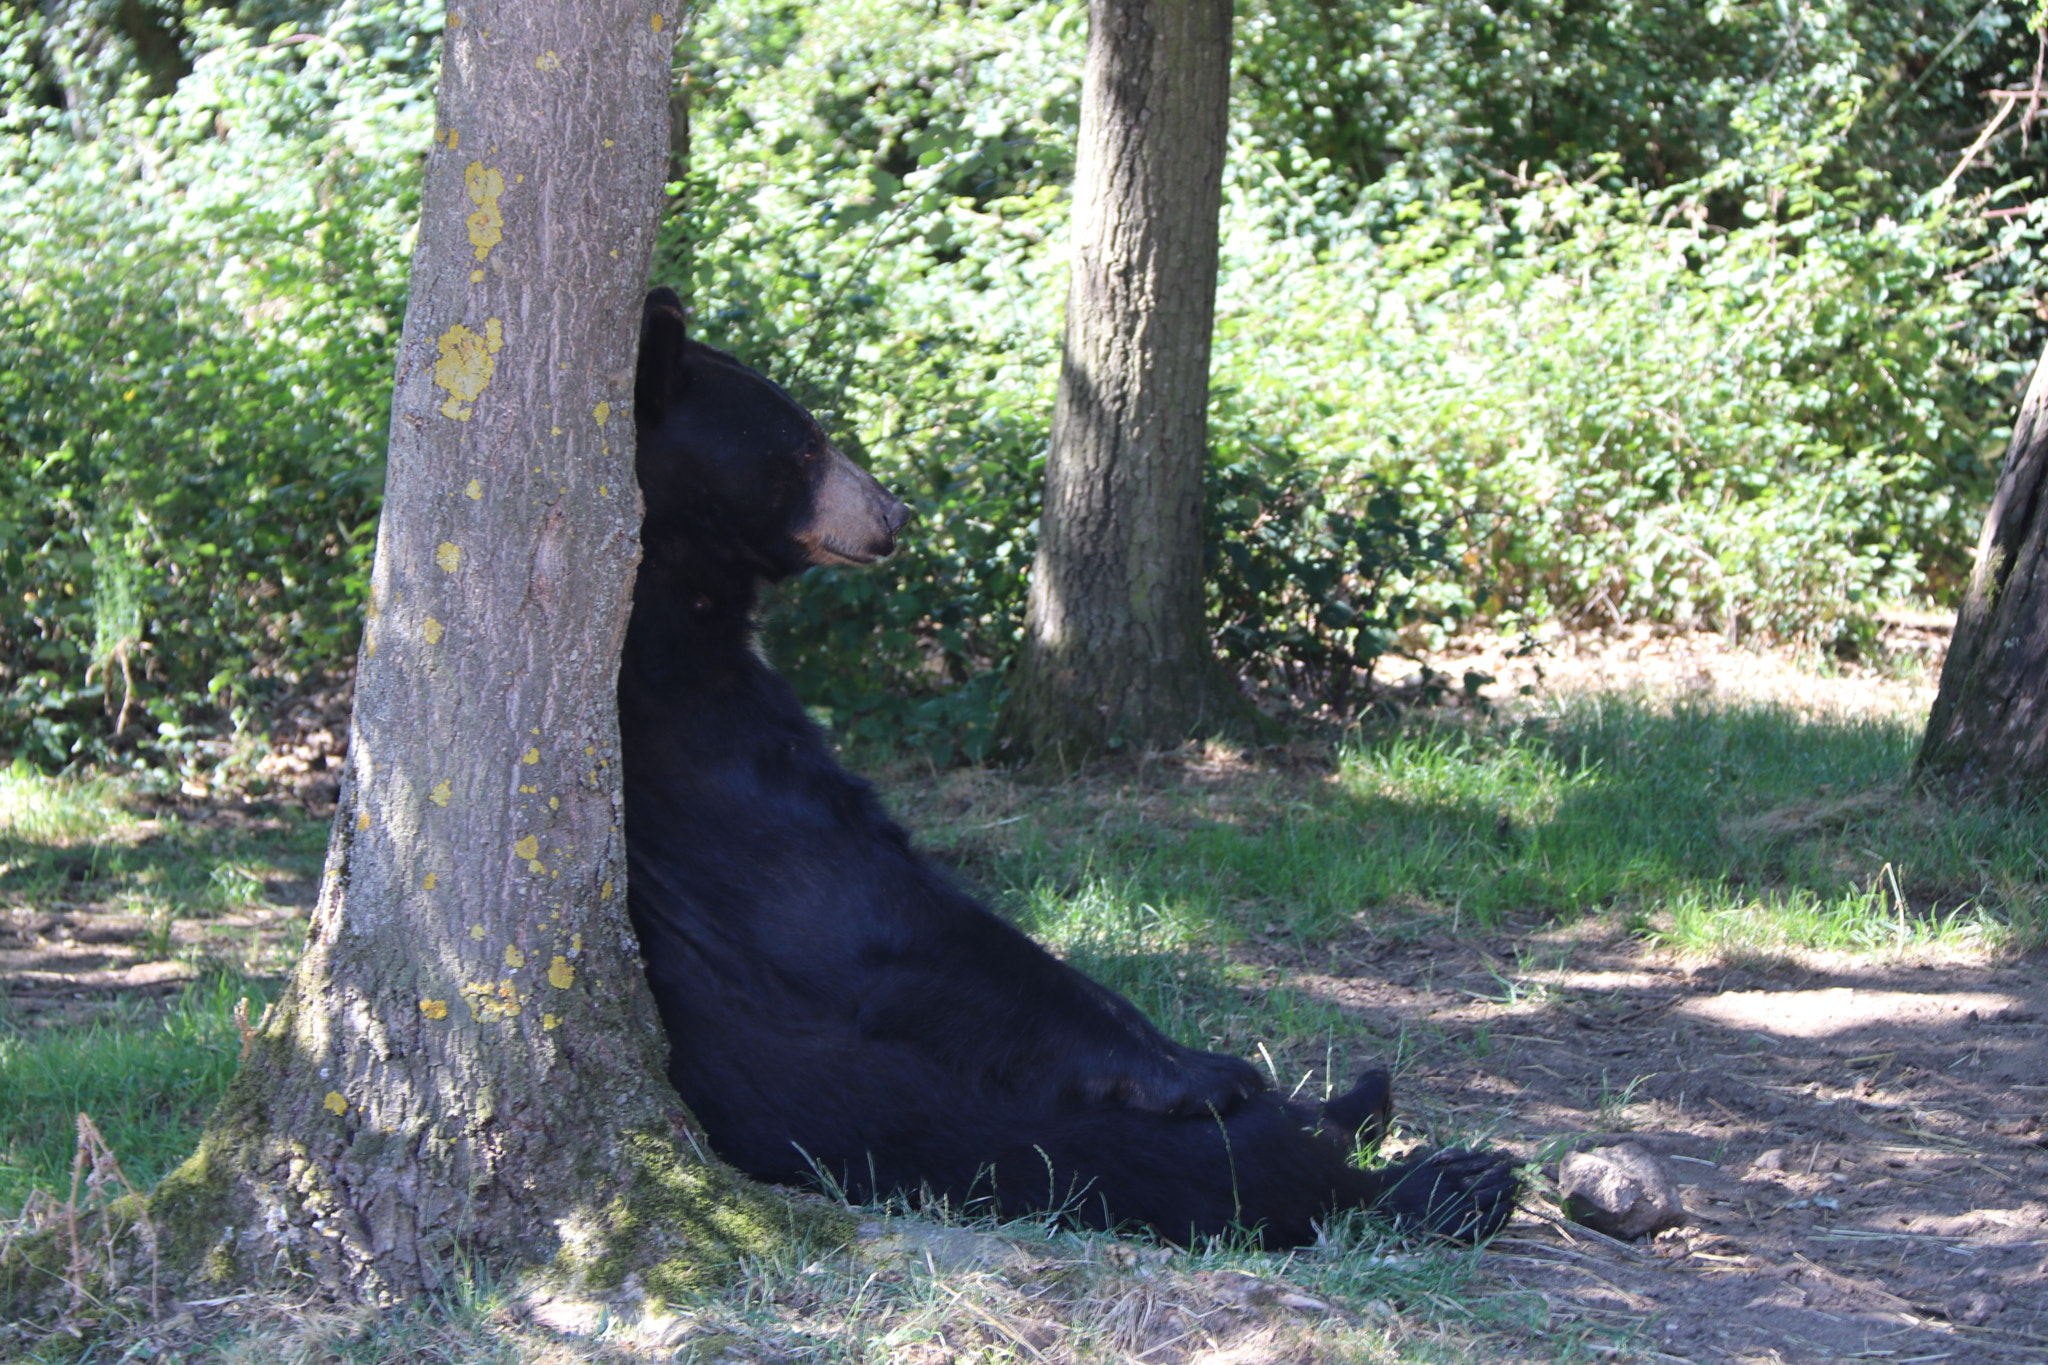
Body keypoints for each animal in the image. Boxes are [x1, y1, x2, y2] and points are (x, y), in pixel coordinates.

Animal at [617, 286, 1519, 1247]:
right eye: (805, 443)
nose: (894, 514)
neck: (670, 595)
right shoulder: (699, 756)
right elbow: (867, 915)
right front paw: (1205, 1067)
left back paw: (1370, 1104)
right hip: (954, 1123)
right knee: (1210, 1166)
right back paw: (1441, 1176)